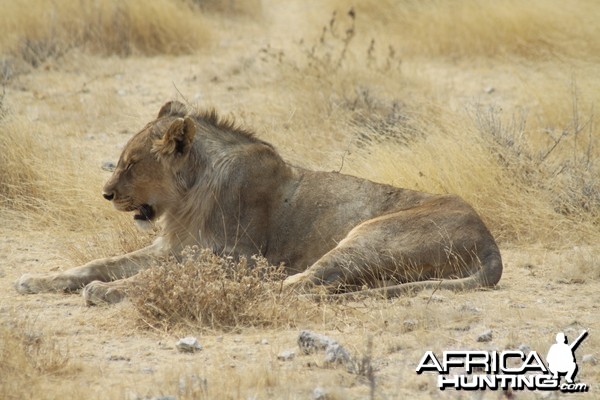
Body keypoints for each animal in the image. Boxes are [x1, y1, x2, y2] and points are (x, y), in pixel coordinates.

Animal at [12, 101, 502, 304]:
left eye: (131, 163)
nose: (107, 194)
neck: (188, 195)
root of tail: (490, 243)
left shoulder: (235, 256)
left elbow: (152, 276)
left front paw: (109, 290)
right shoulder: (171, 248)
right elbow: (99, 263)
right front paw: (38, 279)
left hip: (369, 234)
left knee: (306, 283)